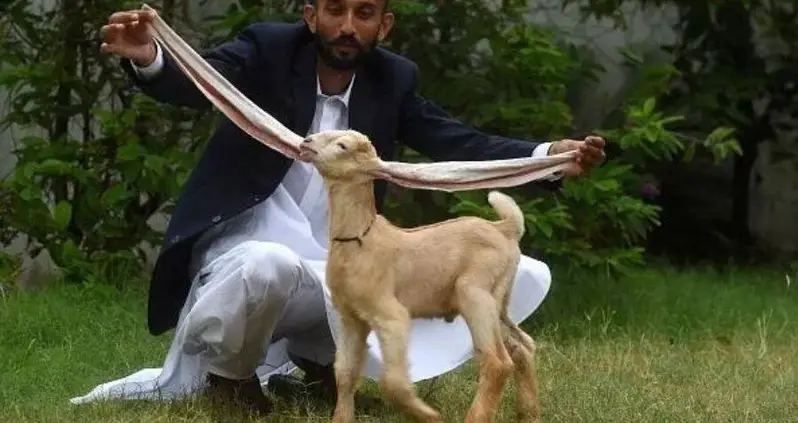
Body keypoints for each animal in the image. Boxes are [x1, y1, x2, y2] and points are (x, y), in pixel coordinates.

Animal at [298, 130, 541, 423]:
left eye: (342, 146)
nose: (306, 142)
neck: (361, 239)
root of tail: (505, 228)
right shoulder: (351, 319)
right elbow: (345, 374)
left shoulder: (392, 317)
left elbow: (392, 383)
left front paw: (429, 415)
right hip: (499, 299)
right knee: (522, 346)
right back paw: (529, 413)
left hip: (475, 293)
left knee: (497, 361)